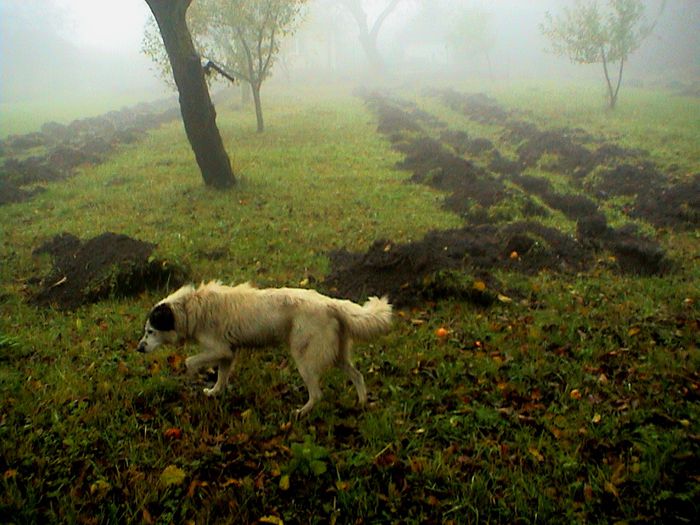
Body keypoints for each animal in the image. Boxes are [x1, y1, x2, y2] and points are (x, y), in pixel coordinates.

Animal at [135, 280, 388, 416]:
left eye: (150, 331)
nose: (139, 348)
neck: (189, 308)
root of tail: (330, 303)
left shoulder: (220, 350)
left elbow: (190, 361)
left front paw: (190, 373)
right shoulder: (228, 353)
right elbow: (222, 376)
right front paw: (215, 392)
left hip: (304, 359)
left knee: (317, 393)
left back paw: (302, 412)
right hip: (337, 355)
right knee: (357, 375)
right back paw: (362, 402)